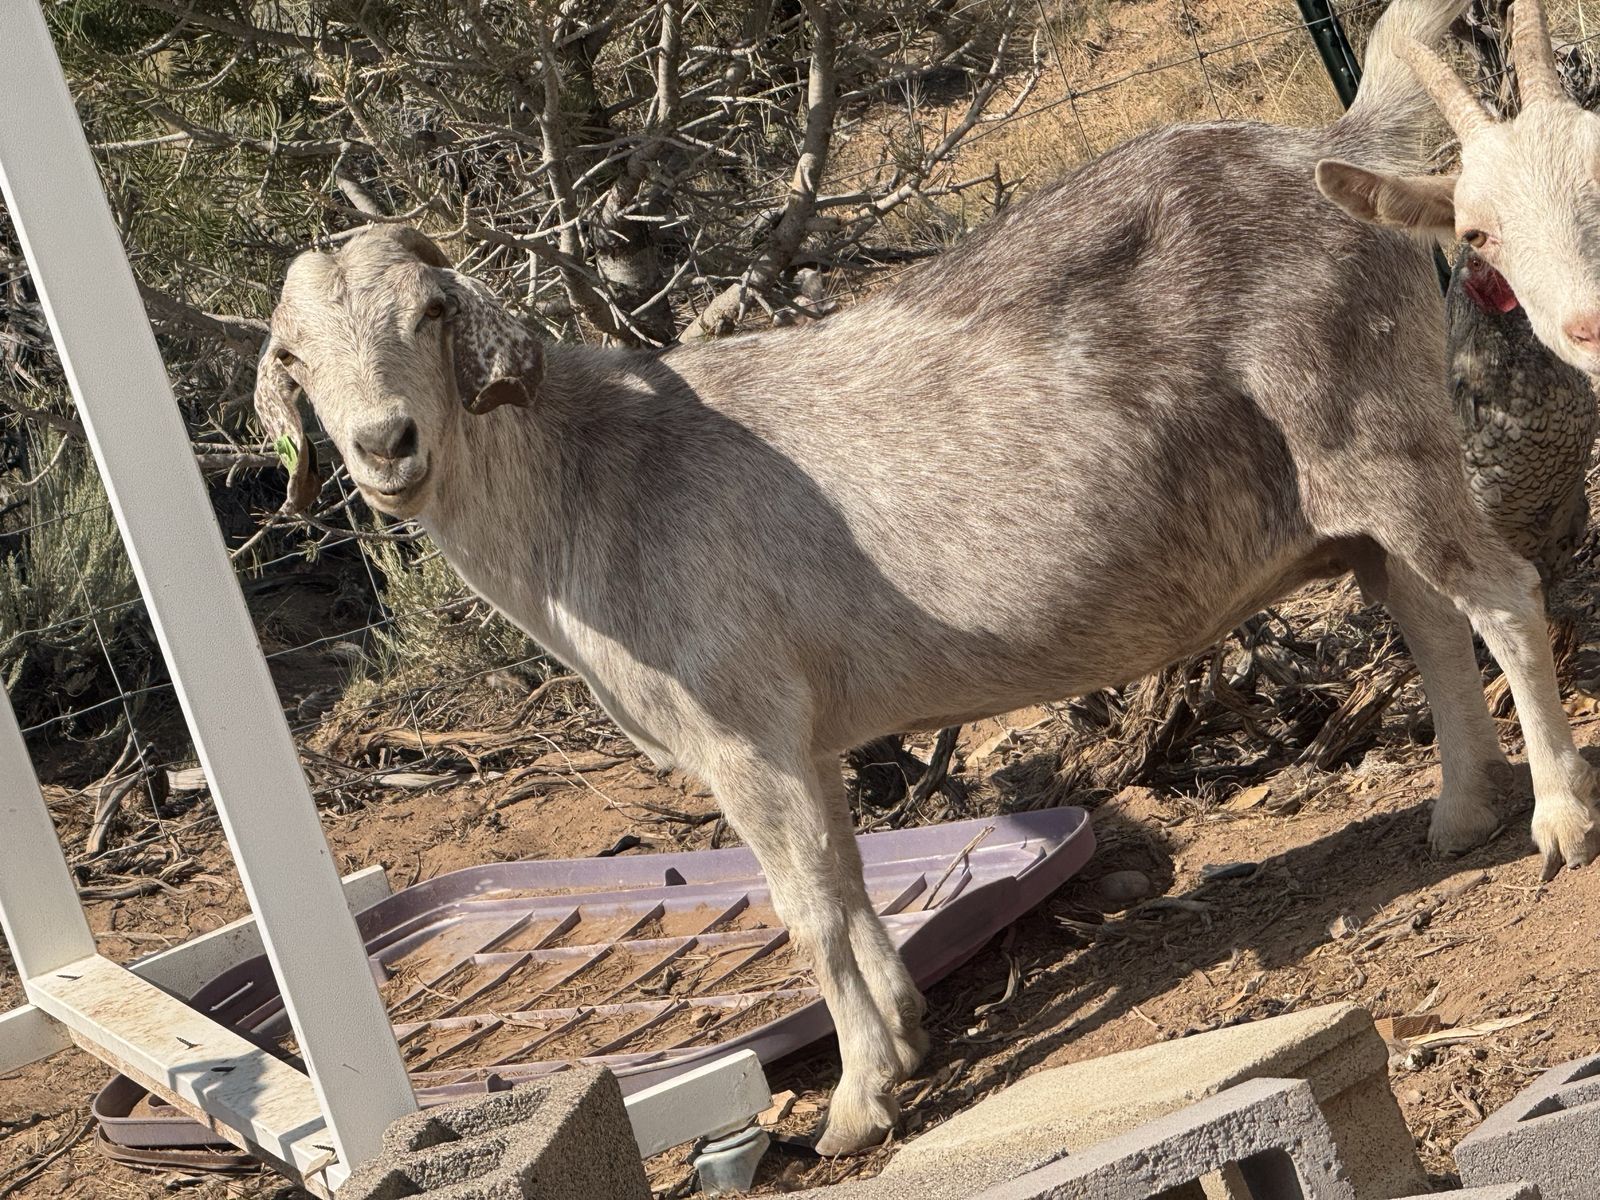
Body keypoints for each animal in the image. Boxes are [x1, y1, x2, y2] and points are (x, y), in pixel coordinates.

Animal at [254, 0, 1597, 1155]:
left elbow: (806, 911)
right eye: (294, 356)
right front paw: (901, 1036)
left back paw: (1556, 820)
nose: (384, 446)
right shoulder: (805, 737)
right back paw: (1458, 813)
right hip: (1361, 482)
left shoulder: (743, 733)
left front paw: (856, 1102)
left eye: (429, 313)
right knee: (1427, 617)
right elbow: (852, 888)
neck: (595, 477)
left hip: (1369, 432)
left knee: (1501, 596)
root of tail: (1333, 144)